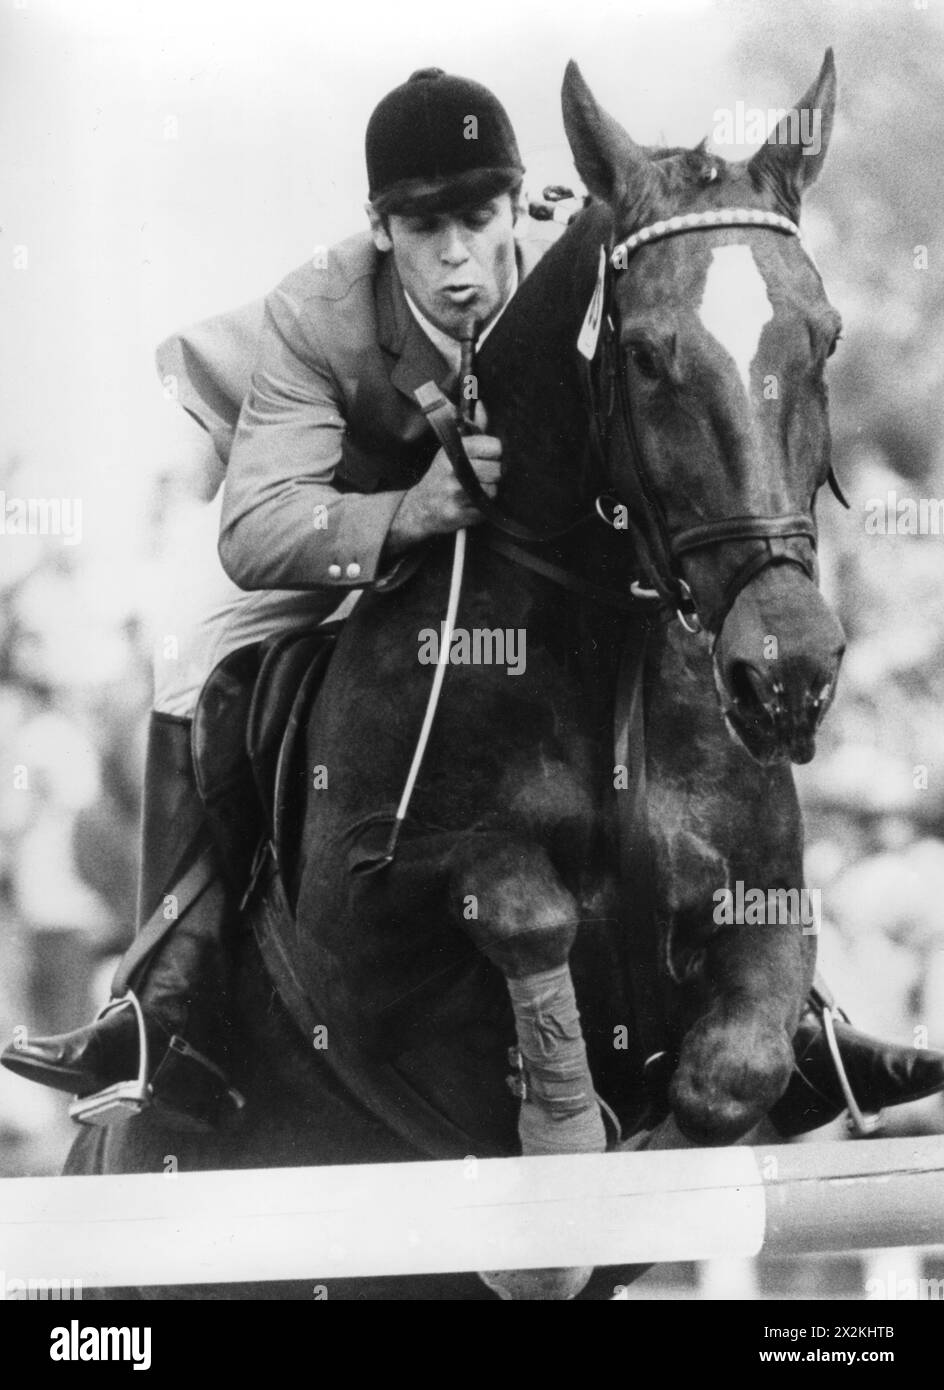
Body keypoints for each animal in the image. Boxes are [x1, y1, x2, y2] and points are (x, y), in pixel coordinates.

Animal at [66, 48, 850, 1295]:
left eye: (821, 339)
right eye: (642, 356)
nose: (786, 671)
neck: (605, 642)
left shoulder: (765, 910)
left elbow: (730, 1077)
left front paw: (619, 1185)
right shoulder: (361, 930)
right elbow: (517, 894)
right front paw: (567, 1149)